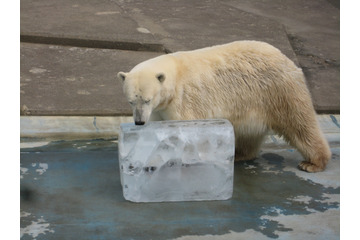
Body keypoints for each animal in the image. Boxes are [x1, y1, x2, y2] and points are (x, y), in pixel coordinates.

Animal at [118, 41, 332, 172]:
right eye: (131, 101)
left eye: (147, 99)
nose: (139, 122)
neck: (175, 76)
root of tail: (286, 58)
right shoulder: (159, 110)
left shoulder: (186, 100)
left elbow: (185, 133)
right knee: (247, 133)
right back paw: (240, 154)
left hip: (279, 91)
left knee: (300, 123)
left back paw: (313, 163)